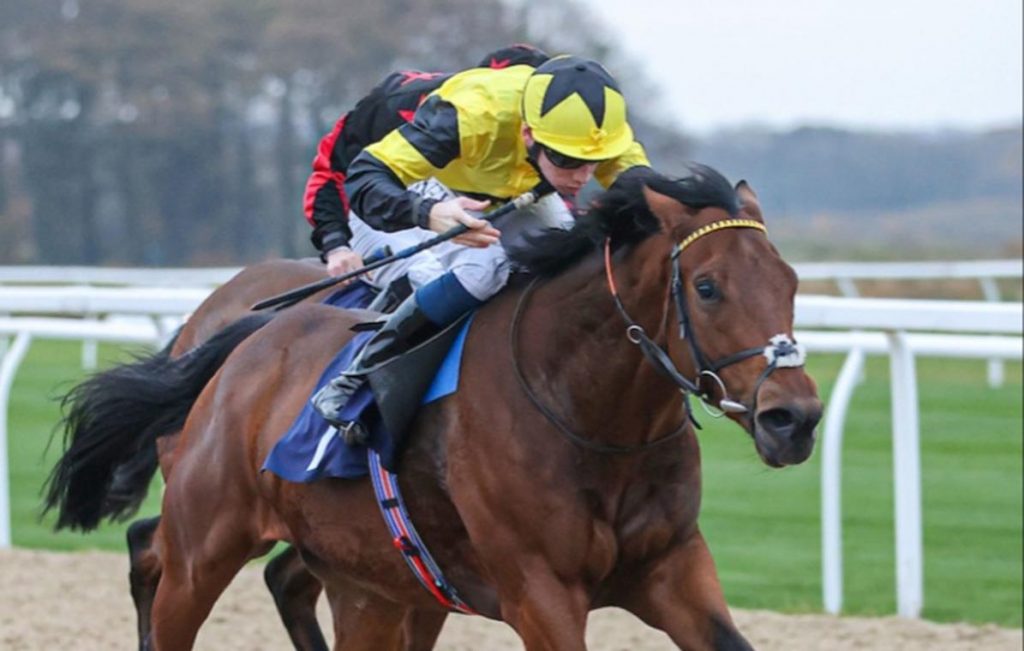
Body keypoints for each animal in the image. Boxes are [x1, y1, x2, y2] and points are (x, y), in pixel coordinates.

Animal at [46, 164, 823, 646]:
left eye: (790, 281)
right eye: (708, 287)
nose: (796, 418)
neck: (591, 417)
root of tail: (248, 337)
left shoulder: (672, 568)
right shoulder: (539, 591)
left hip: (366, 580)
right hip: (205, 542)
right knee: (154, 557)